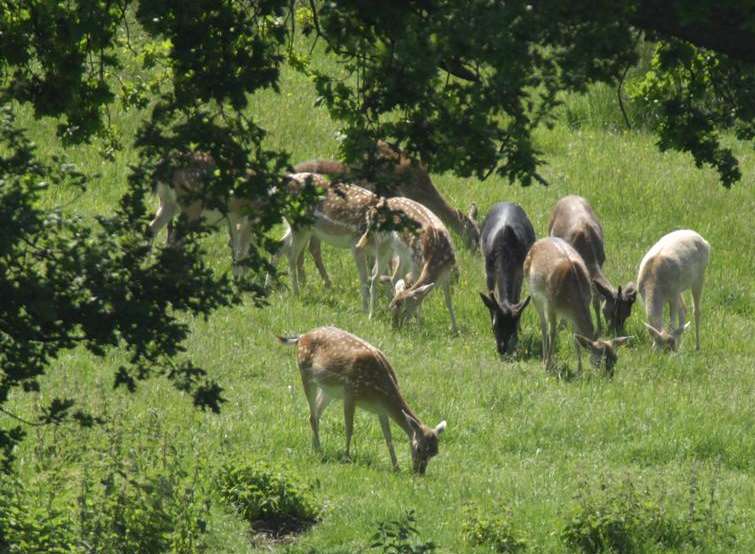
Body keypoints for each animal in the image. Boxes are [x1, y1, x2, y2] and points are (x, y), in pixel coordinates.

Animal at [278, 326, 446, 472]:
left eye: (435, 452)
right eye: (419, 448)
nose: (419, 472)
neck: (378, 391)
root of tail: (301, 337)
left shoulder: (381, 410)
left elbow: (388, 438)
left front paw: (396, 467)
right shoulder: (350, 394)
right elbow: (349, 428)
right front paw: (346, 457)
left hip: (328, 390)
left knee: (314, 415)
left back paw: (315, 447)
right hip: (305, 374)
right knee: (313, 415)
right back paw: (319, 450)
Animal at [358, 195, 458, 332]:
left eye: (404, 310)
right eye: (391, 307)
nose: (395, 327)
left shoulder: (447, 273)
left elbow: (448, 300)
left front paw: (455, 329)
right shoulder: (416, 265)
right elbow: (420, 300)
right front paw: (419, 326)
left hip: (401, 253)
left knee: (395, 276)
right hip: (382, 242)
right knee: (375, 275)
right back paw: (371, 315)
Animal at [478, 202, 536, 354]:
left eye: (512, 328)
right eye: (495, 326)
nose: (501, 349)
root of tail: (507, 202)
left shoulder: (519, 271)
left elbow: (516, 298)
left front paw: (517, 336)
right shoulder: (488, 270)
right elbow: (491, 297)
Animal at [524, 235, 632, 374]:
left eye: (616, 358)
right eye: (599, 361)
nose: (610, 375)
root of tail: (539, 241)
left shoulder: (582, 306)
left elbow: (576, 337)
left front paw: (579, 369)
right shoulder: (550, 305)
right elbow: (551, 332)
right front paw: (547, 365)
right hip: (533, 293)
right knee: (543, 325)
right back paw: (545, 359)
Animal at [548, 194, 636, 332]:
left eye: (627, 314)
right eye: (611, 312)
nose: (617, 331)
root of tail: (568, 196)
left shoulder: (601, 261)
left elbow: (596, 299)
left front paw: (598, 328)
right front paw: (563, 325)